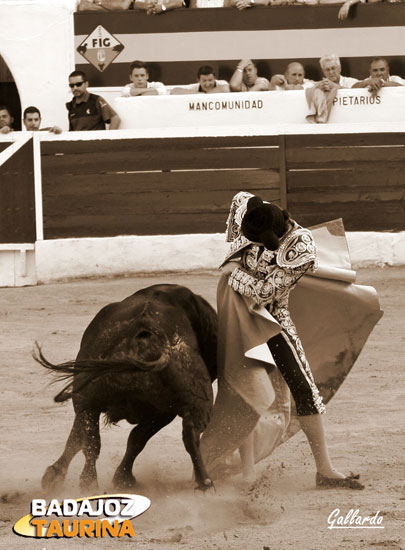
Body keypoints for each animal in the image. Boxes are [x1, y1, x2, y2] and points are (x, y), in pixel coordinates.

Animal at [34, 286, 218, 494]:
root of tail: (148, 327)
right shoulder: (164, 412)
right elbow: (134, 439)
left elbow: (85, 439)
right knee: (189, 434)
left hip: (90, 399)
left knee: (91, 440)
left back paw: (88, 483)